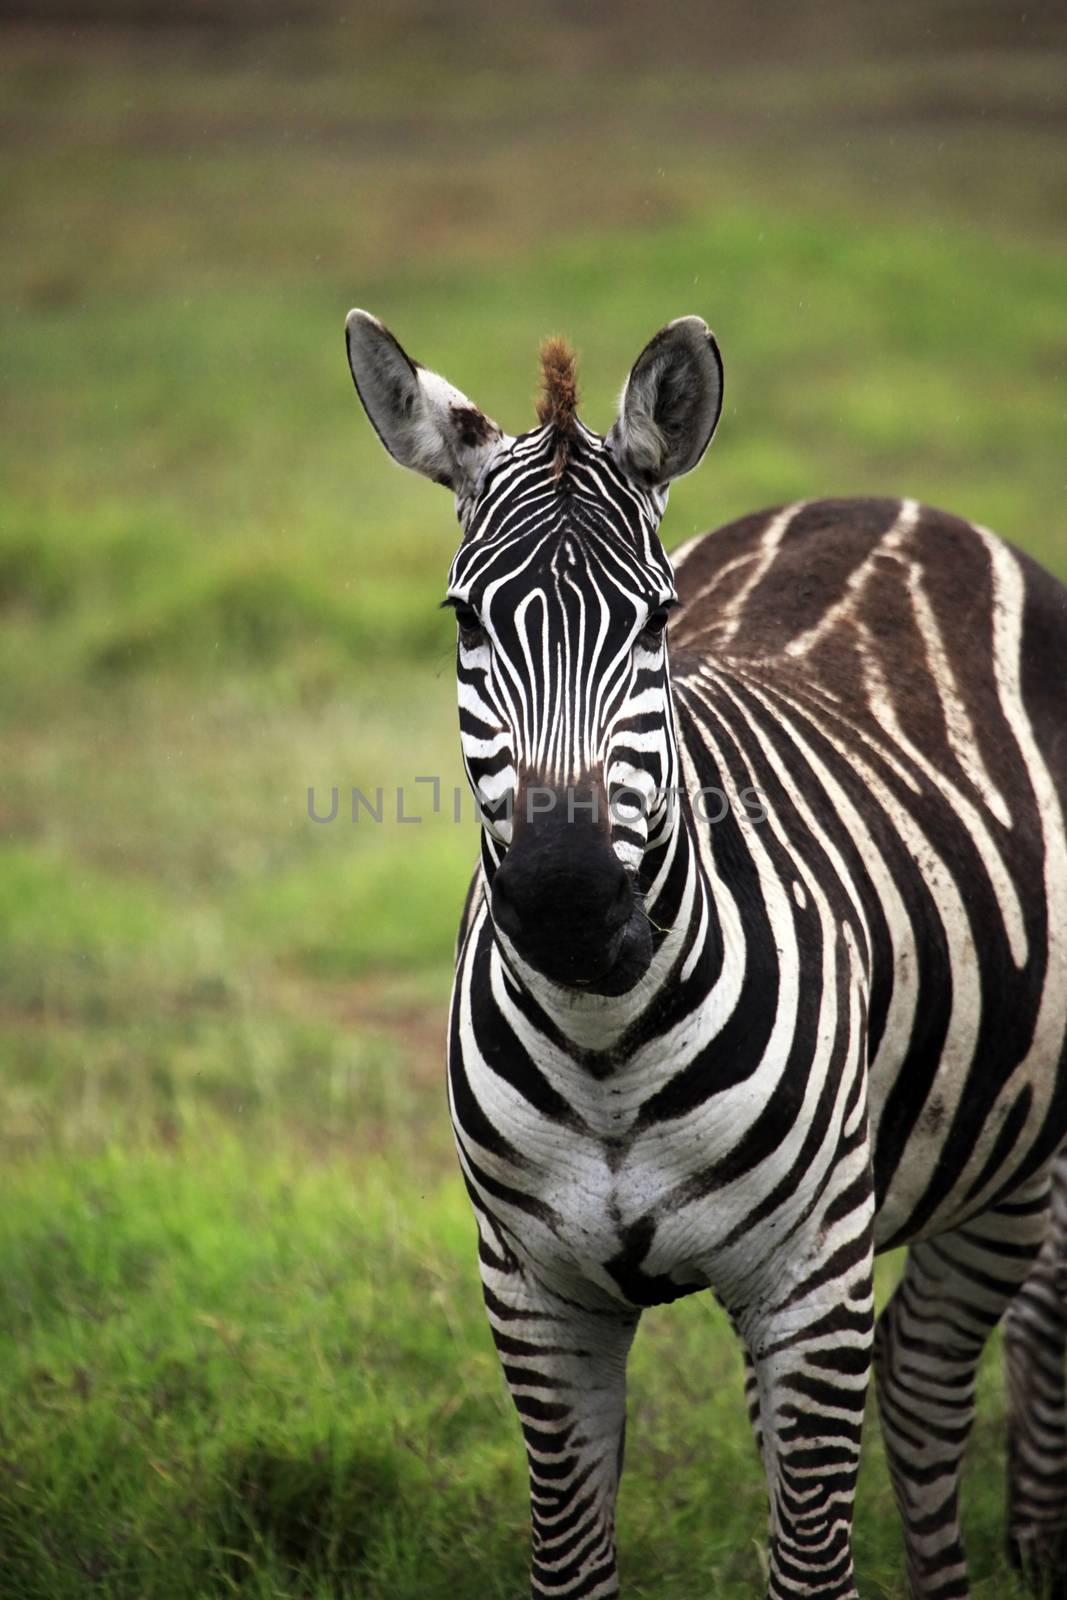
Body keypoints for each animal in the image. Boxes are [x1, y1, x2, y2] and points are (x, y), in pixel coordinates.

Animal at [343, 312, 1067, 1600]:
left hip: (999, 1163)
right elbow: (573, 1560)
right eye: (465, 619)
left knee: (943, 1373)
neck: (604, 1050)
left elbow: (812, 1563)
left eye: (655, 620)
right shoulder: (534, 1295)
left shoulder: (810, 1283)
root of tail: (888, 500)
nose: (569, 907)